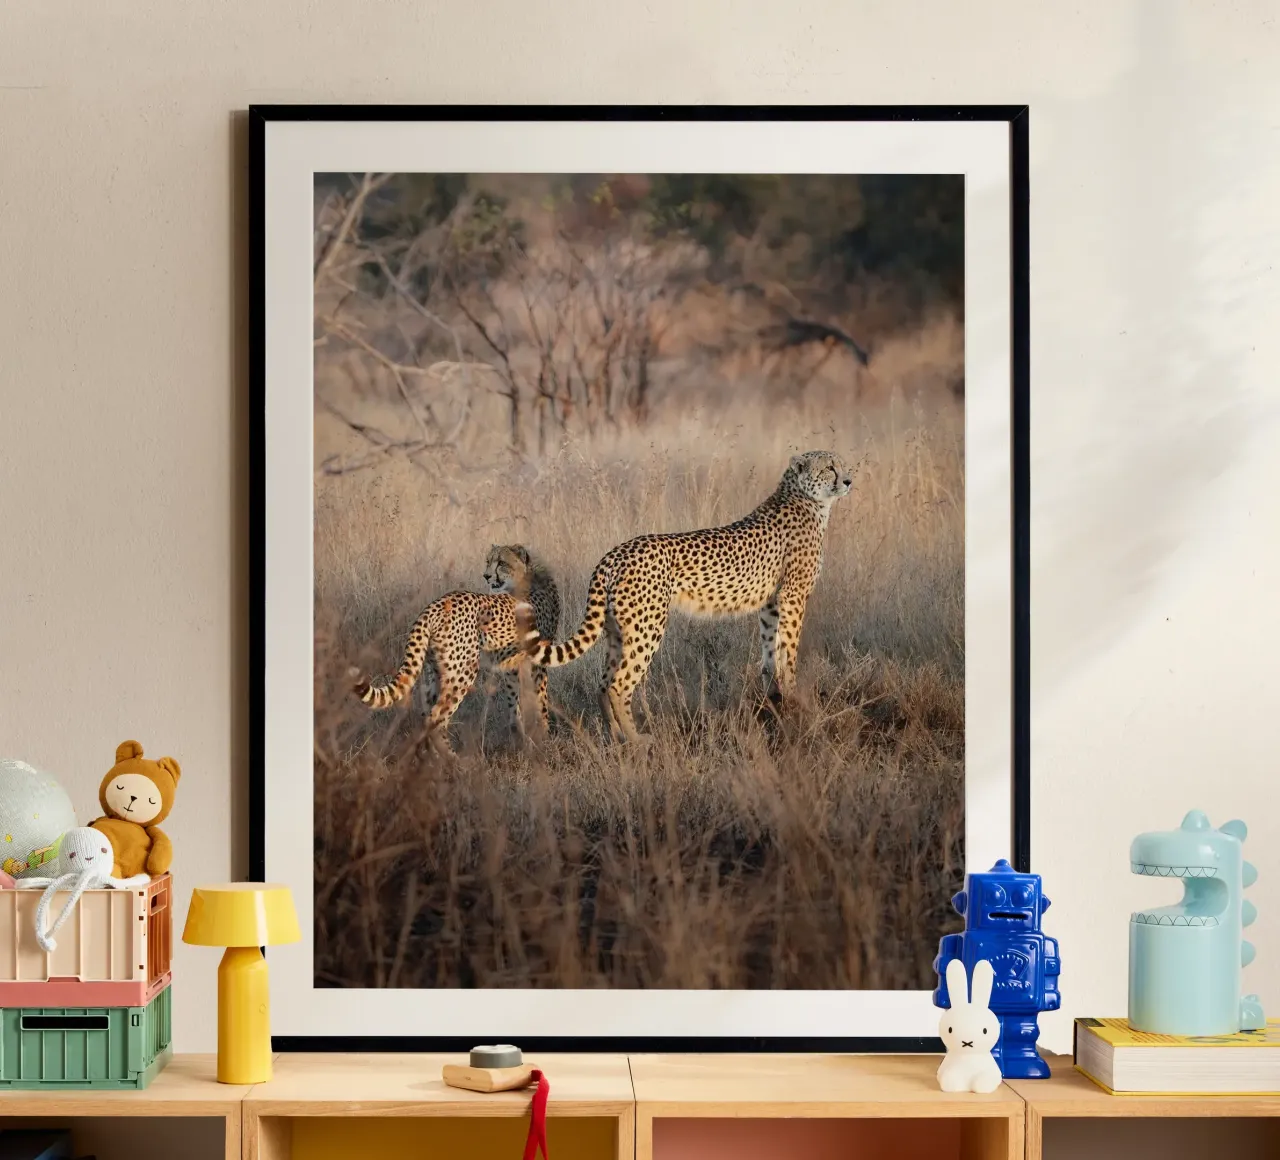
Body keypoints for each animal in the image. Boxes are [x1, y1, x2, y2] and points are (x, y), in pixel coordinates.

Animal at [352, 544, 560, 754]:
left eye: (501, 562)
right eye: (488, 561)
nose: (486, 576)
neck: (526, 577)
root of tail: (434, 606)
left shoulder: (512, 664)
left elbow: (514, 700)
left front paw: (521, 737)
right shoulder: (537, 660)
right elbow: (540, 699)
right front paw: (543, 736)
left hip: (433, 670)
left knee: (425, 714)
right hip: (462, 670)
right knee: (436, 718)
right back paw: (454, 759)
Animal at [515, 450, 853, 742]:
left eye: (842, 464)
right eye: (829, 467)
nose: (848, 480)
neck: (805, 498)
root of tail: (615, 553)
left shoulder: (770, 602)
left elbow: (771, 651)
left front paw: (775, 699)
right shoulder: (793, 596)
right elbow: (789, 650)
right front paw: (796, 700)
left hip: (617, 630)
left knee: (602, 682)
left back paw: (616, 735)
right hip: (647, 626)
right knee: (619, 684)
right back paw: (638, 740)